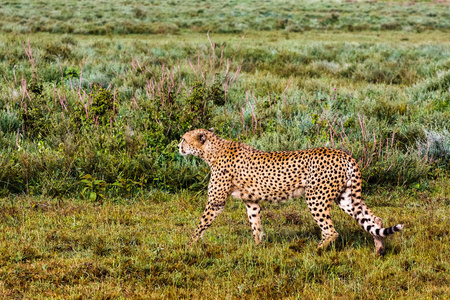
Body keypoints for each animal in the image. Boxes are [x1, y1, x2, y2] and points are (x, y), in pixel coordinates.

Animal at [178, 127, 404, 254]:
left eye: (184, 139)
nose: (178, 147)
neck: (211, 150)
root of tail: (343, 153)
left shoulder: (216, 201)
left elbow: (201, 224)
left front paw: (188, 246)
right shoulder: (251, 201)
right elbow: (255, 224)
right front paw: (258, 247)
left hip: (316, 197)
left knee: (331, 231)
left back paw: (316, 250)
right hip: (345, 197)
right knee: (374, 220)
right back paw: (379, 250)